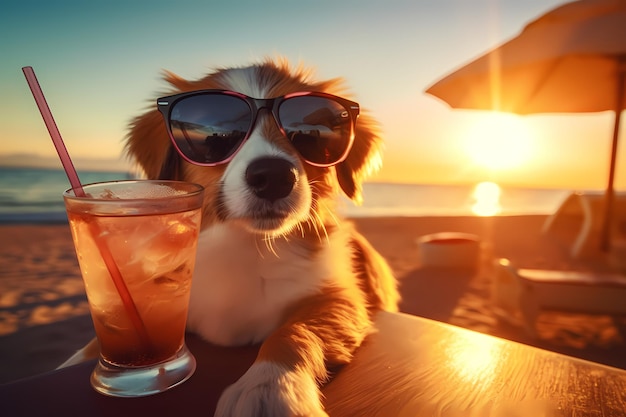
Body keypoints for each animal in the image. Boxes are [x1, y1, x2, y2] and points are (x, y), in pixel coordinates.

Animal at [66, 58, 398, 416]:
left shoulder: (340, 298)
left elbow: (293, 332)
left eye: (309, 133)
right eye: (217, 137)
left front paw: (271, 387)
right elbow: (99, 342)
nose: (274, 176)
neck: (248, 246)